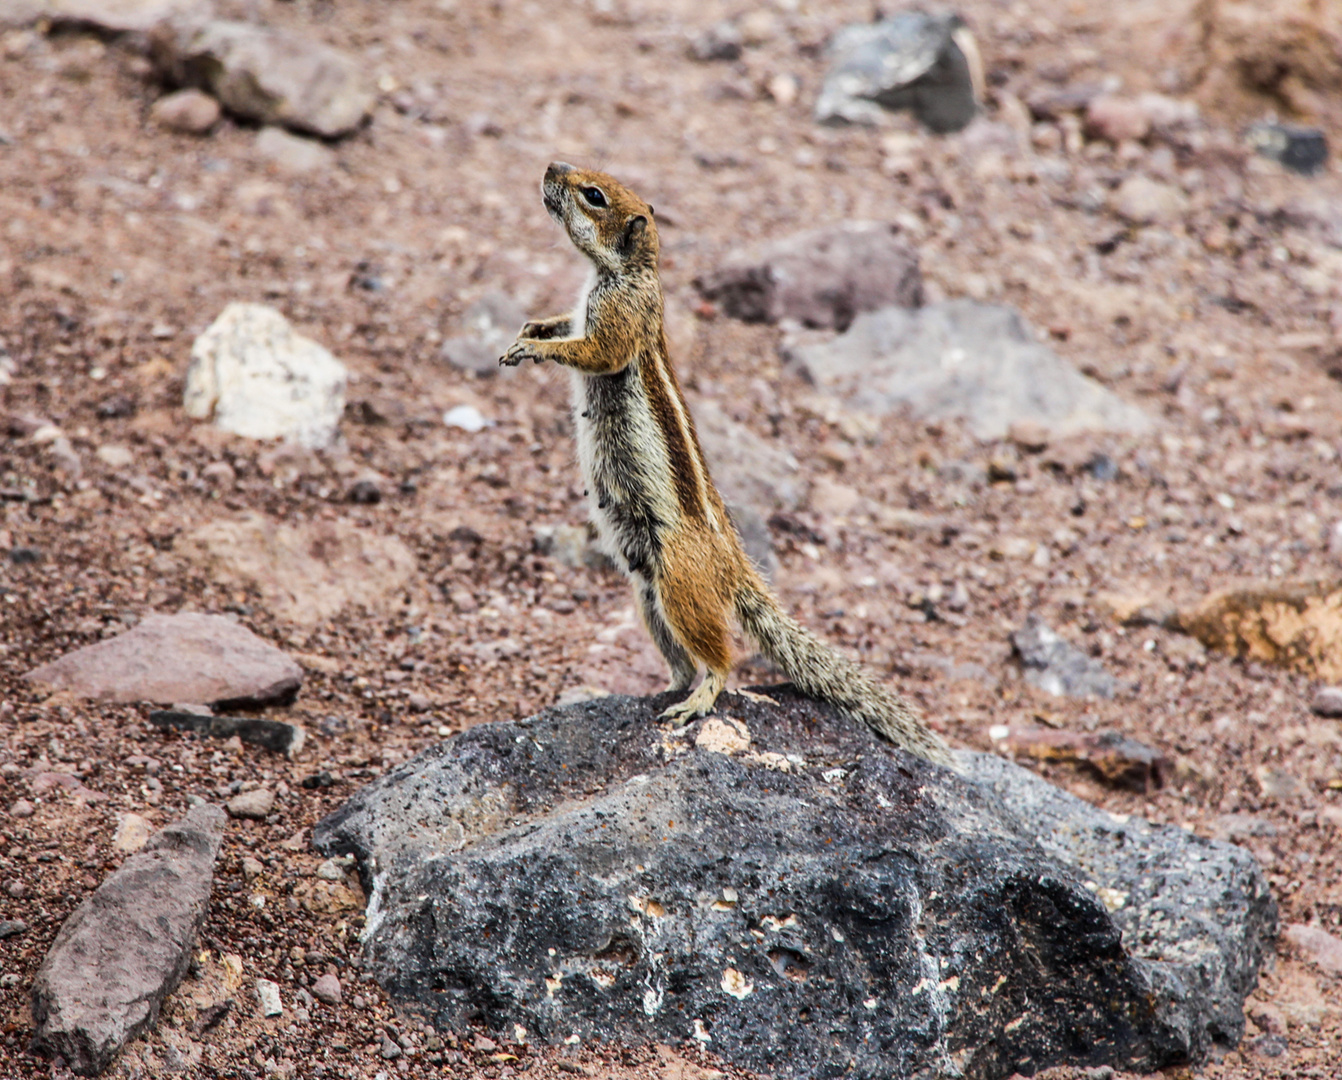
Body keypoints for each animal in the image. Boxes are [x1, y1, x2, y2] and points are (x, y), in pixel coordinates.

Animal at [504, 162, 955, 767]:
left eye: (594, 195)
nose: (552, 166)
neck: (626, 272)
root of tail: (733, 567)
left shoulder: (619, 322)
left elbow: (594, 351)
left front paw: (536, 349)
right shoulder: (583, 310)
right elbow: (561, 323)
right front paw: (529, 330)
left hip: (679, 582)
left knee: (722, 660)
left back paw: (697, 700)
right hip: (646, 592)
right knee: (681, 656)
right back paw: (667, 686)